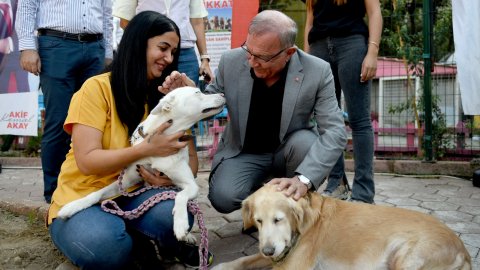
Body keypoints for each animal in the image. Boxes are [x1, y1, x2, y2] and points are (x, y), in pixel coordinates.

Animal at [57, 87, 226, 242]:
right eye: (198, 93)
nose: (222, 93)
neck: (166, 134)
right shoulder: (127, 180)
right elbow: (97, 193)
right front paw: (73, 206)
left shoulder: (190, 184)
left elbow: (180, 195)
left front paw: (180, 224)